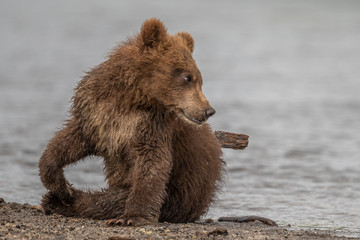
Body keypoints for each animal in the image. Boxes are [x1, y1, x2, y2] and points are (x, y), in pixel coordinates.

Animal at [40, 17, 225, 226]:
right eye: (188, 77)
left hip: (180, 194)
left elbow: (152, 163)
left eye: (199, 79)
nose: (208, 110)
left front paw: (132, 217)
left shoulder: (151, 124)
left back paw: (62, 201)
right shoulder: (94, 113)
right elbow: (69, 141)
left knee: (110, 200)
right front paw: (61, 186)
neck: (131, 97)